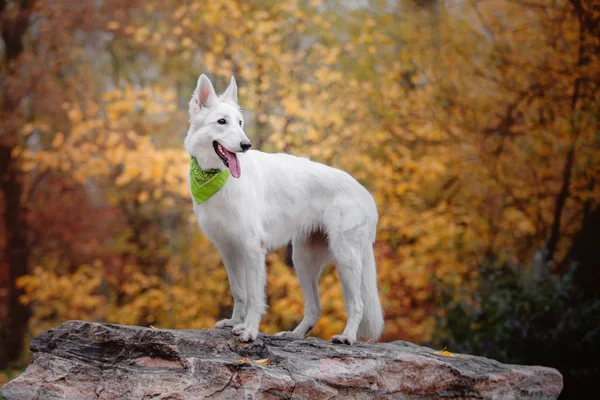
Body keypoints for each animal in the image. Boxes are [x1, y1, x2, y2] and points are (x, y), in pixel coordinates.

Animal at [184, 74, 384, 344]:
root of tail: (367, 196)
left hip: (345, 259)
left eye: (240, 123)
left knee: (357, 304)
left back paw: (347, 337)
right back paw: (294, 335)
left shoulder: (252, 249)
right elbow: (239, 292)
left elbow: (255, 297)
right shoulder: (229, 249)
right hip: (303, 261)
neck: (218, 178)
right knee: (315, 308)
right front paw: (235, 323)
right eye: (222, 122)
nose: (246, 144)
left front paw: (249, 330)